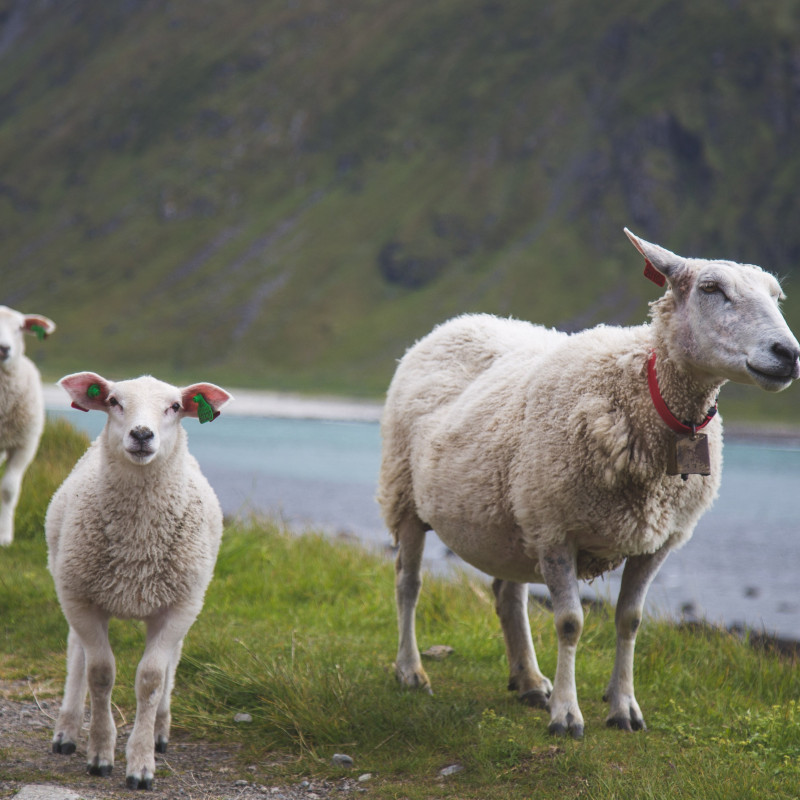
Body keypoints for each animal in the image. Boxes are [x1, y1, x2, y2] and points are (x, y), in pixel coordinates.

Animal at [46, 372, 233, 792]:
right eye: (114, 401)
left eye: (175, 407)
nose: (143, 434)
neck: (138, 542)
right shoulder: (82, 599)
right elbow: (100, 674)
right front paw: (101, 754)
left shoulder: (178, 606)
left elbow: (150, 679)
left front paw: (142, 765)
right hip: (71, 583)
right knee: (76, 653)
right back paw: (66, 731)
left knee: (172, 661)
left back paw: (161, 731)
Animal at [376, 228, 800, 740]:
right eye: (711, 288)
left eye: (777, 296)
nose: (789, 354)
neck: (645, 393)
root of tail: (459, 321)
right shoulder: (557, 530)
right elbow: (570, 623)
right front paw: (566, 714)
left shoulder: (655, 541)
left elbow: (630, 620)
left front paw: (623, 707)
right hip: (407, 494)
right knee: (408, 583)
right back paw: (411, 670)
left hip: (512, 514)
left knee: (508, 595)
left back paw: (528, 679)